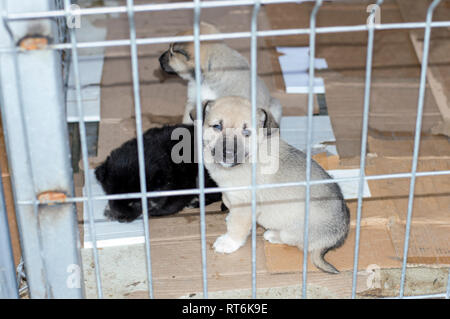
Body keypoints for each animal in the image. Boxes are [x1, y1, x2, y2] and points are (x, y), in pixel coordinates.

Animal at [195, 97, 350, 276]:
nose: (228, 153)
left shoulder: (245, 204)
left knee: (293, 240)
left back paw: (273, 234)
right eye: (217, 127)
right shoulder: (231, 194)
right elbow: (227, 202)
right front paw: (229, 215)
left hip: (294, 227)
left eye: (246, 133)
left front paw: (228, 242)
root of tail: (335, 238)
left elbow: (237, 226)